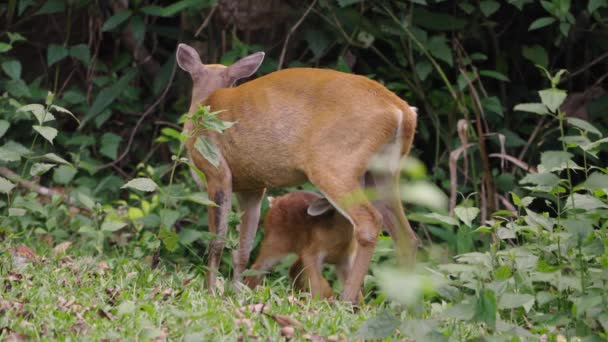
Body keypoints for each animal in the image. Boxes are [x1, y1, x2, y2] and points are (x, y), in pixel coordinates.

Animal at [175, 43, 418, 302]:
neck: (207, 102)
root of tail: (403, 112)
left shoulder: (217, 171)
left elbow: (216, 241)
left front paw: (210, 292)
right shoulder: (253, 186)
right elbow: (244, 247)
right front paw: (236, 294)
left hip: (333, 164)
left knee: (369, 223)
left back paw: (347, 301)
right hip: (382, 173)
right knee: (406, 236)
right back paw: (402, 305)